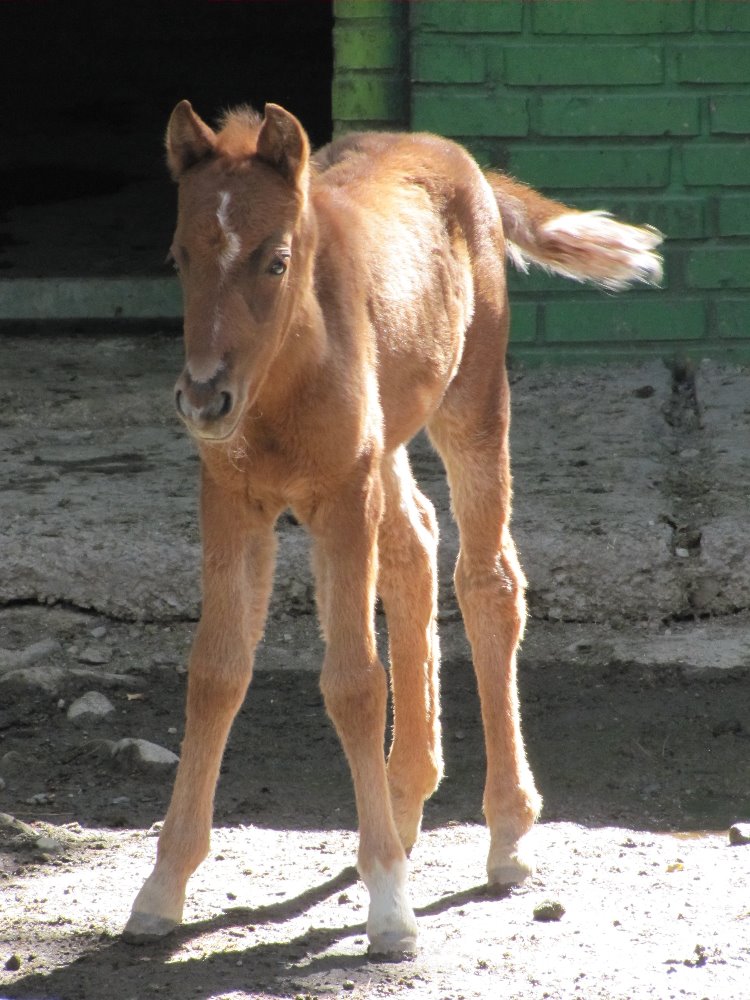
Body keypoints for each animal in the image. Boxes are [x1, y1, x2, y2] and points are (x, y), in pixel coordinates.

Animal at [124, 101, 662, 954]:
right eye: (179, 256)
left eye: (276, 260)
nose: (204, 398)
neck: (283, 382)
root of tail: (451, 153)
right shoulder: (233, 498)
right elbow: (216, 671)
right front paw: (162, 888)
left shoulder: (344, 496)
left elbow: (353, 680)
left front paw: (388, 906)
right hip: (390, 439)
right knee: (415, 543)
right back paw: (408, 801)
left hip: (473, 398)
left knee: (487, 579)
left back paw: (507, 835)